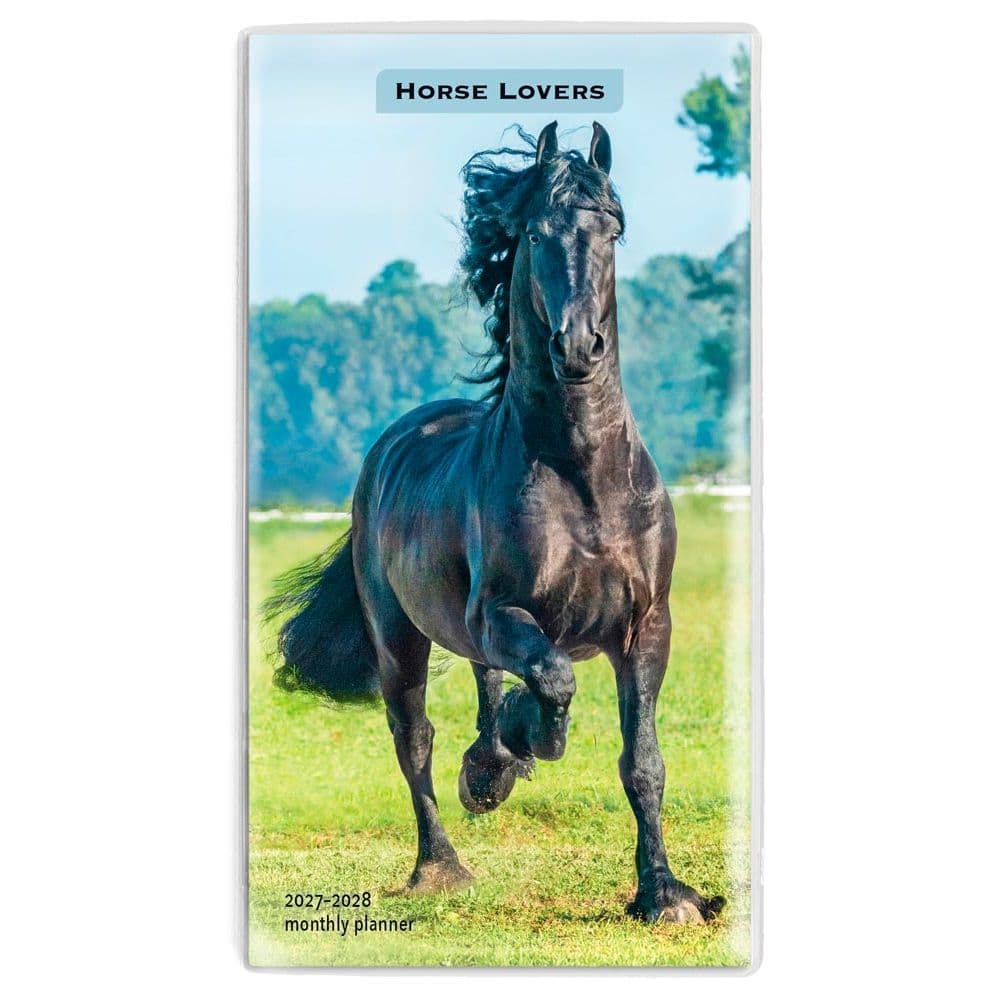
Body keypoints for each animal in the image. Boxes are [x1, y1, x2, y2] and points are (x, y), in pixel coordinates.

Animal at [266, 122, 725, 924]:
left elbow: (642, 762)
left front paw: (665, 894)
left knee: (482, 681)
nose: (578, 346)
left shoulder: (648, 626)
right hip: (398, 635)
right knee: (413, 738)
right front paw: (518, 748)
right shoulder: (503, 612)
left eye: (611, 229)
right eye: (536, 233)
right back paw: (442, 862)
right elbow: (553, 679)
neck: (583, 477)